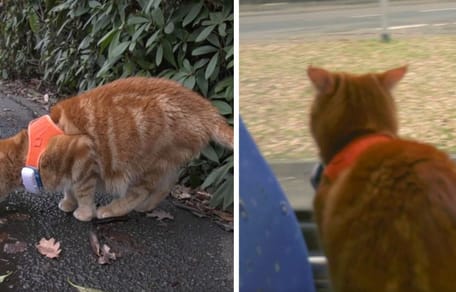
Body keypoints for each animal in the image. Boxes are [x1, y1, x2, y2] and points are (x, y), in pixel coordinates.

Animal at [0, 77, 233, 221]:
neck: (29, 151)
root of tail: (205, 108)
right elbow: (70, 188)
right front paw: (68, 202)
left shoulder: (84, 155)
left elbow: (83, 191)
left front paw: (84, 213)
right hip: (165, 163)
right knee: (165, 186)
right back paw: (147, 207)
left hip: (143, 165)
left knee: (138, 192)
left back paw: (111, 209)